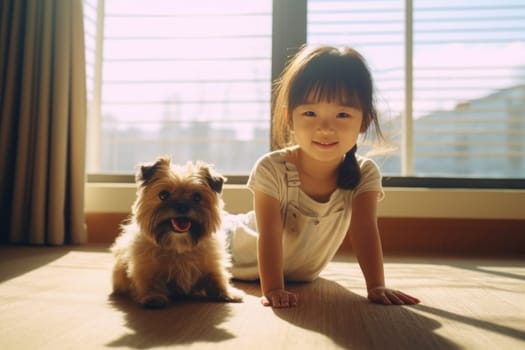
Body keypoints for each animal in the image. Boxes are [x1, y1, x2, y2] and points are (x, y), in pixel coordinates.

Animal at [111, 157, 243, 308]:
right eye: (163, 195)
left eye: (197, 197)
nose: (182, 206)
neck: (178, 248)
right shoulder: (145, 268)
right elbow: (150, 282)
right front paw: (153, 297)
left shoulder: (212, 264)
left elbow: (218, 278)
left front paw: (228, 293)